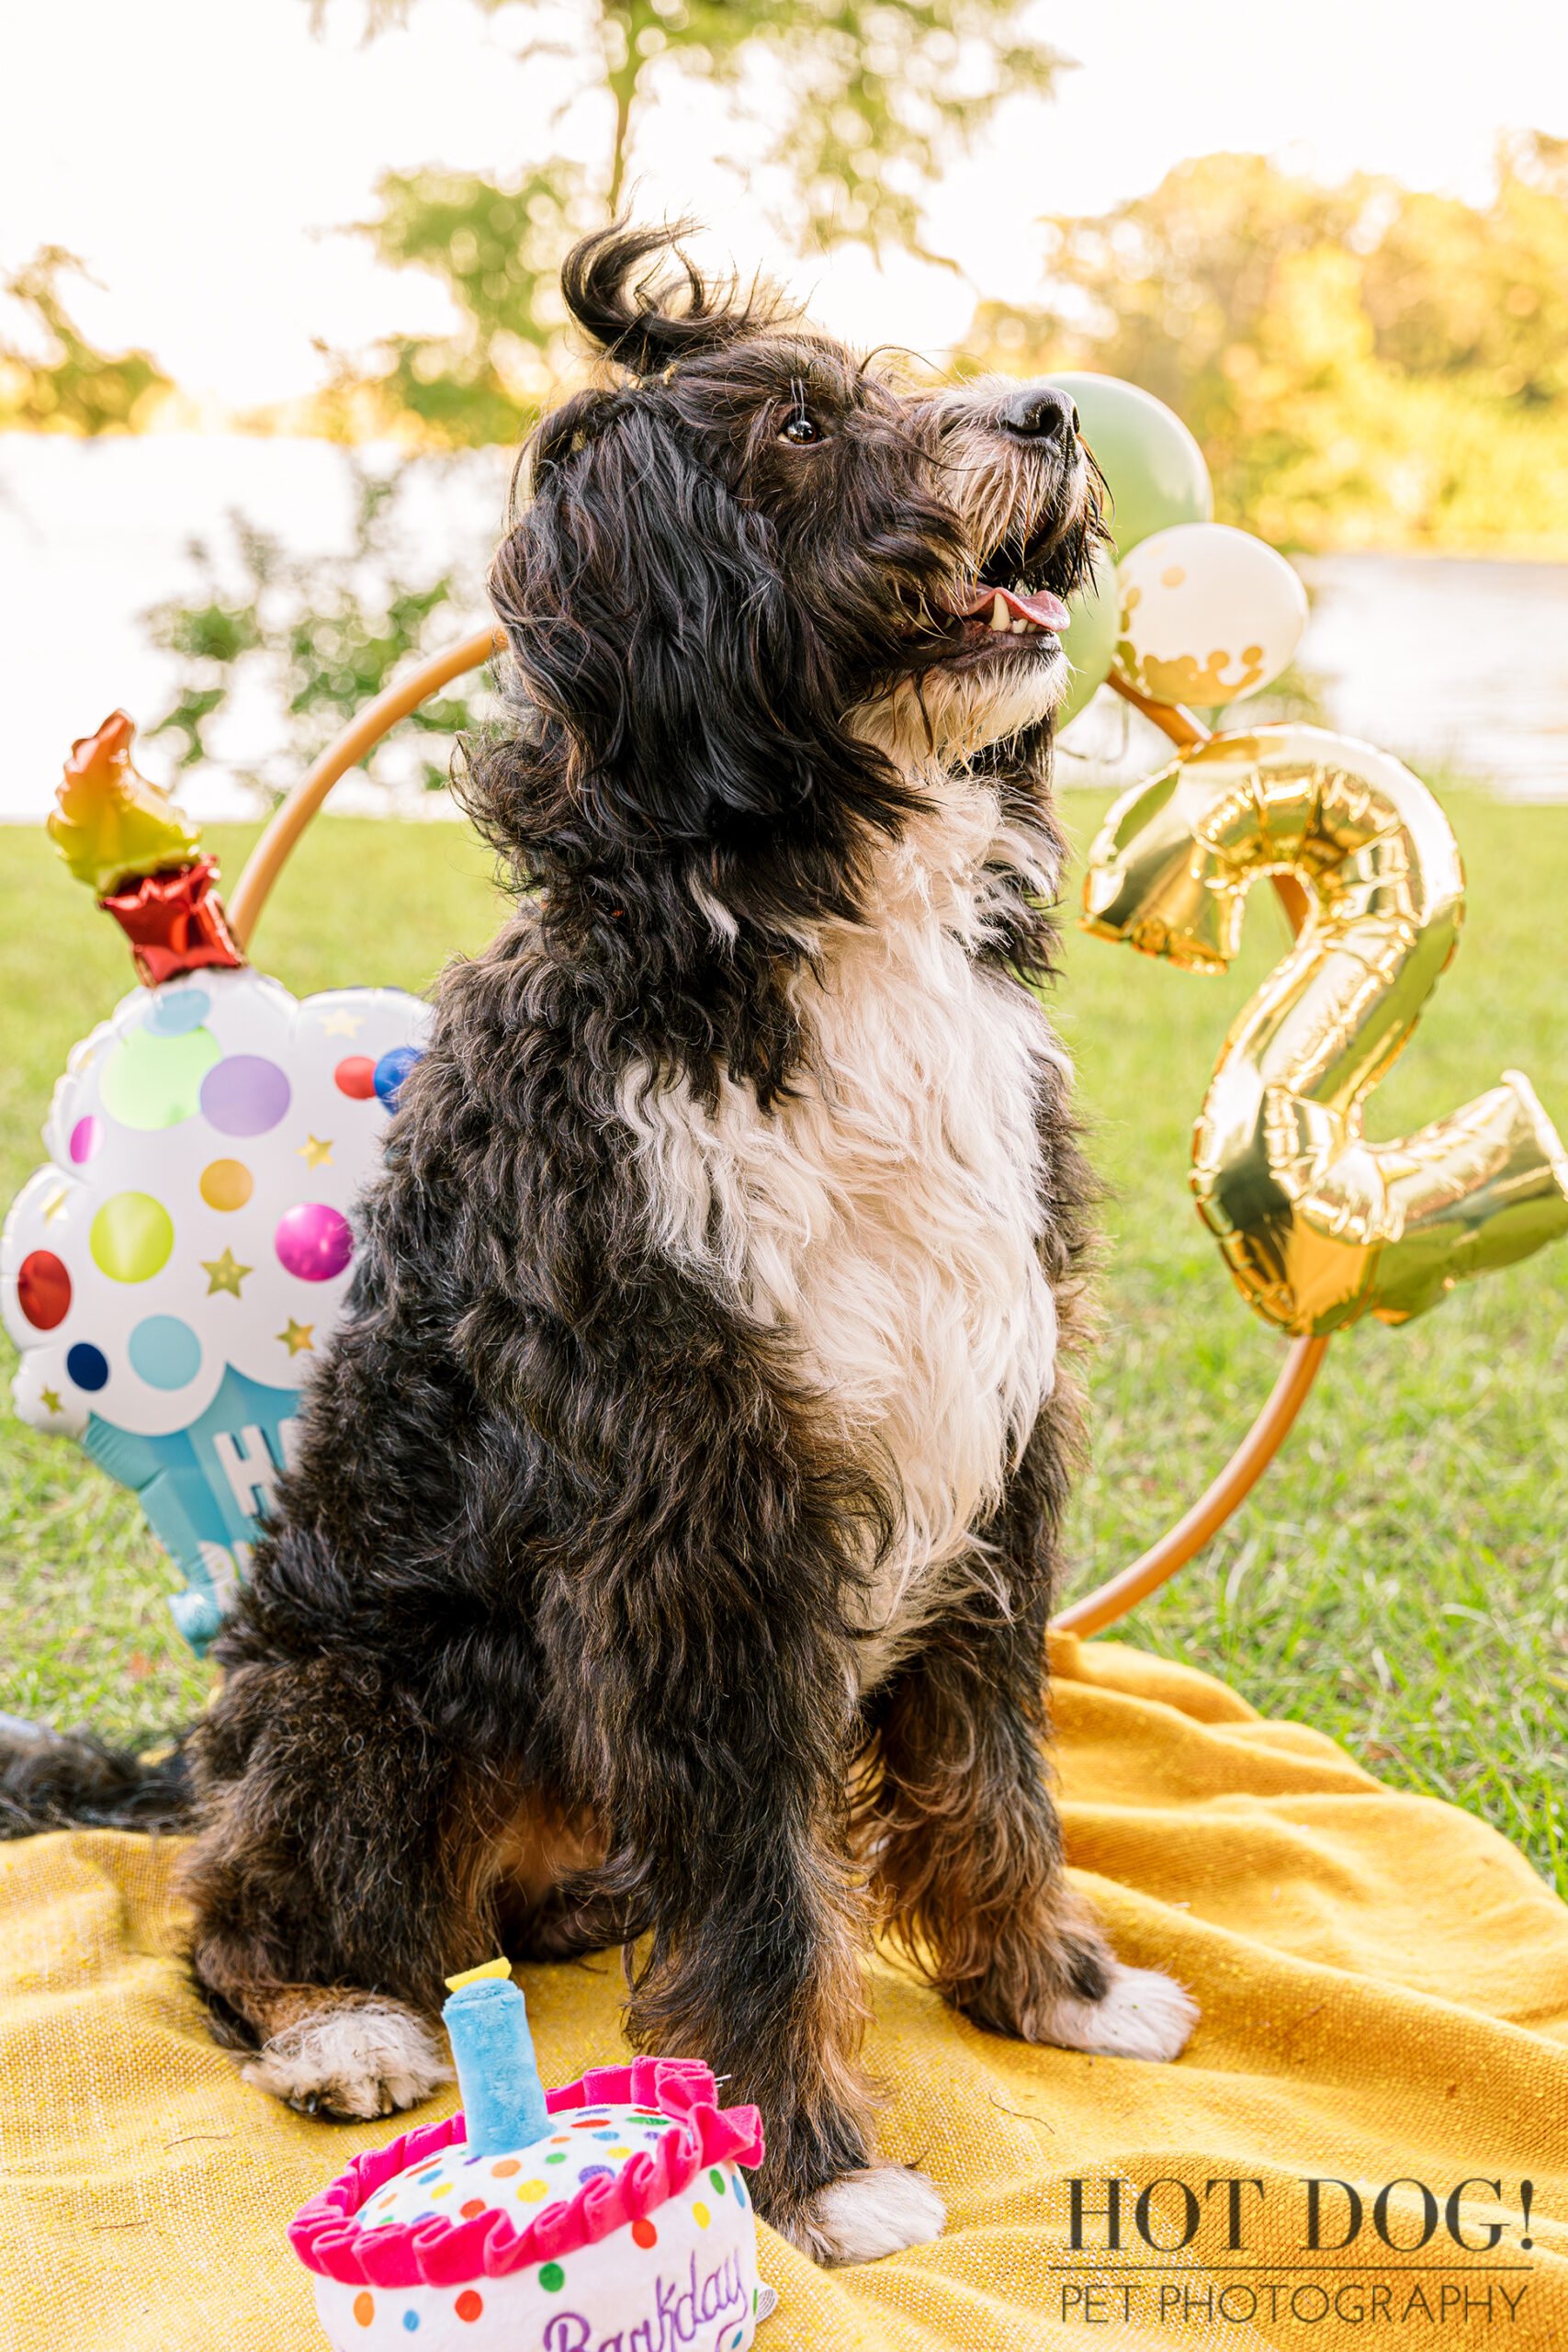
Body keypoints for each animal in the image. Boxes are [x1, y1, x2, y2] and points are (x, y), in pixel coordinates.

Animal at [122, 229, 1189, 2267]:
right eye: (798, 427)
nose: (1049, 412)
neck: (813, 921)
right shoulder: (699, 1503)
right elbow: (762, 1878)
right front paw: (814, 2163)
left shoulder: (993, 1442)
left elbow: (991, 1765)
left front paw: (1052, 1988)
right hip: (357, 1689)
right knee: (246, 1905)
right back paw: (345, 2021)